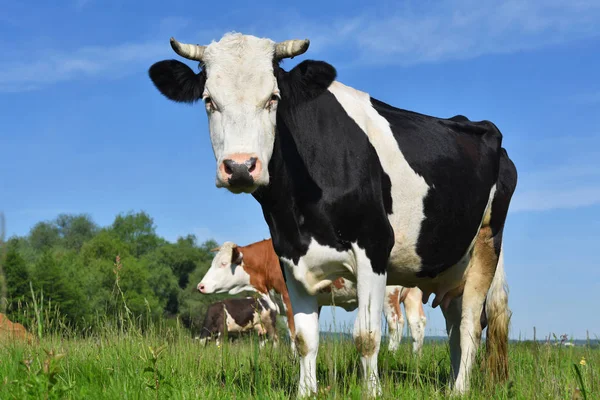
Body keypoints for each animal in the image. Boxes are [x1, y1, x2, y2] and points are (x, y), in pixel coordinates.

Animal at [197, 238, 426, 354]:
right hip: (413, 295)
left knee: (397, 322)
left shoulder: (289, 299)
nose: (201, 286)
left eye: (223, 263)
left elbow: (293, 333)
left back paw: (391, 353)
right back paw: (415, 357)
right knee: (417, 324)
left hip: (389, 293)